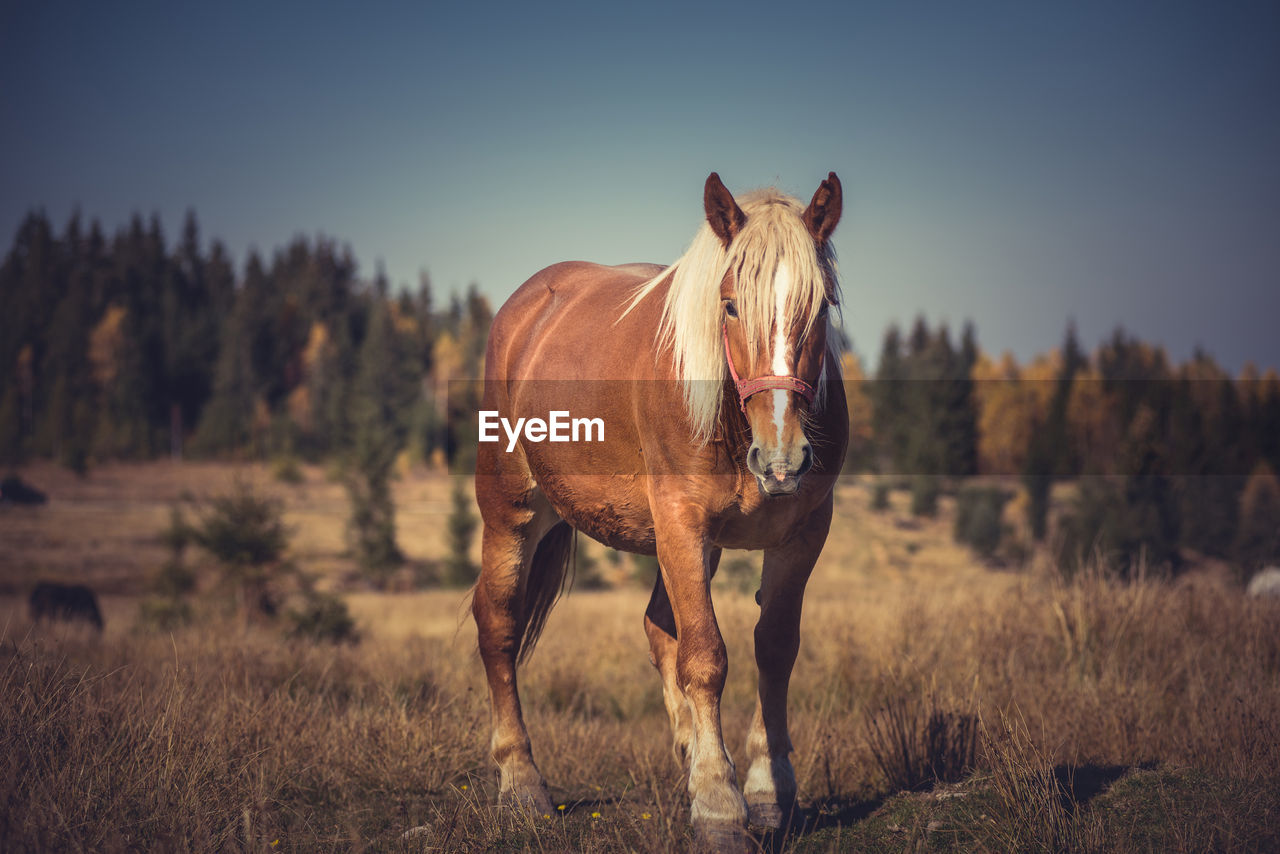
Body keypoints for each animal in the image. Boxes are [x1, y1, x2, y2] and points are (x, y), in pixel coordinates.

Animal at [476, 171, 844, 850]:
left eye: (822, 305)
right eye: (730, 305)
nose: (783, 457)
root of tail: (526, 306)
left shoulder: (801, 534)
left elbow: (774, 647)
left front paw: (764, 790)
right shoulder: (680, 522)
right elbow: (705, 657)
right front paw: (721, 806)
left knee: (657, 627)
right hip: (511, 510)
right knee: (498, 626)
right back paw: (521, 783)